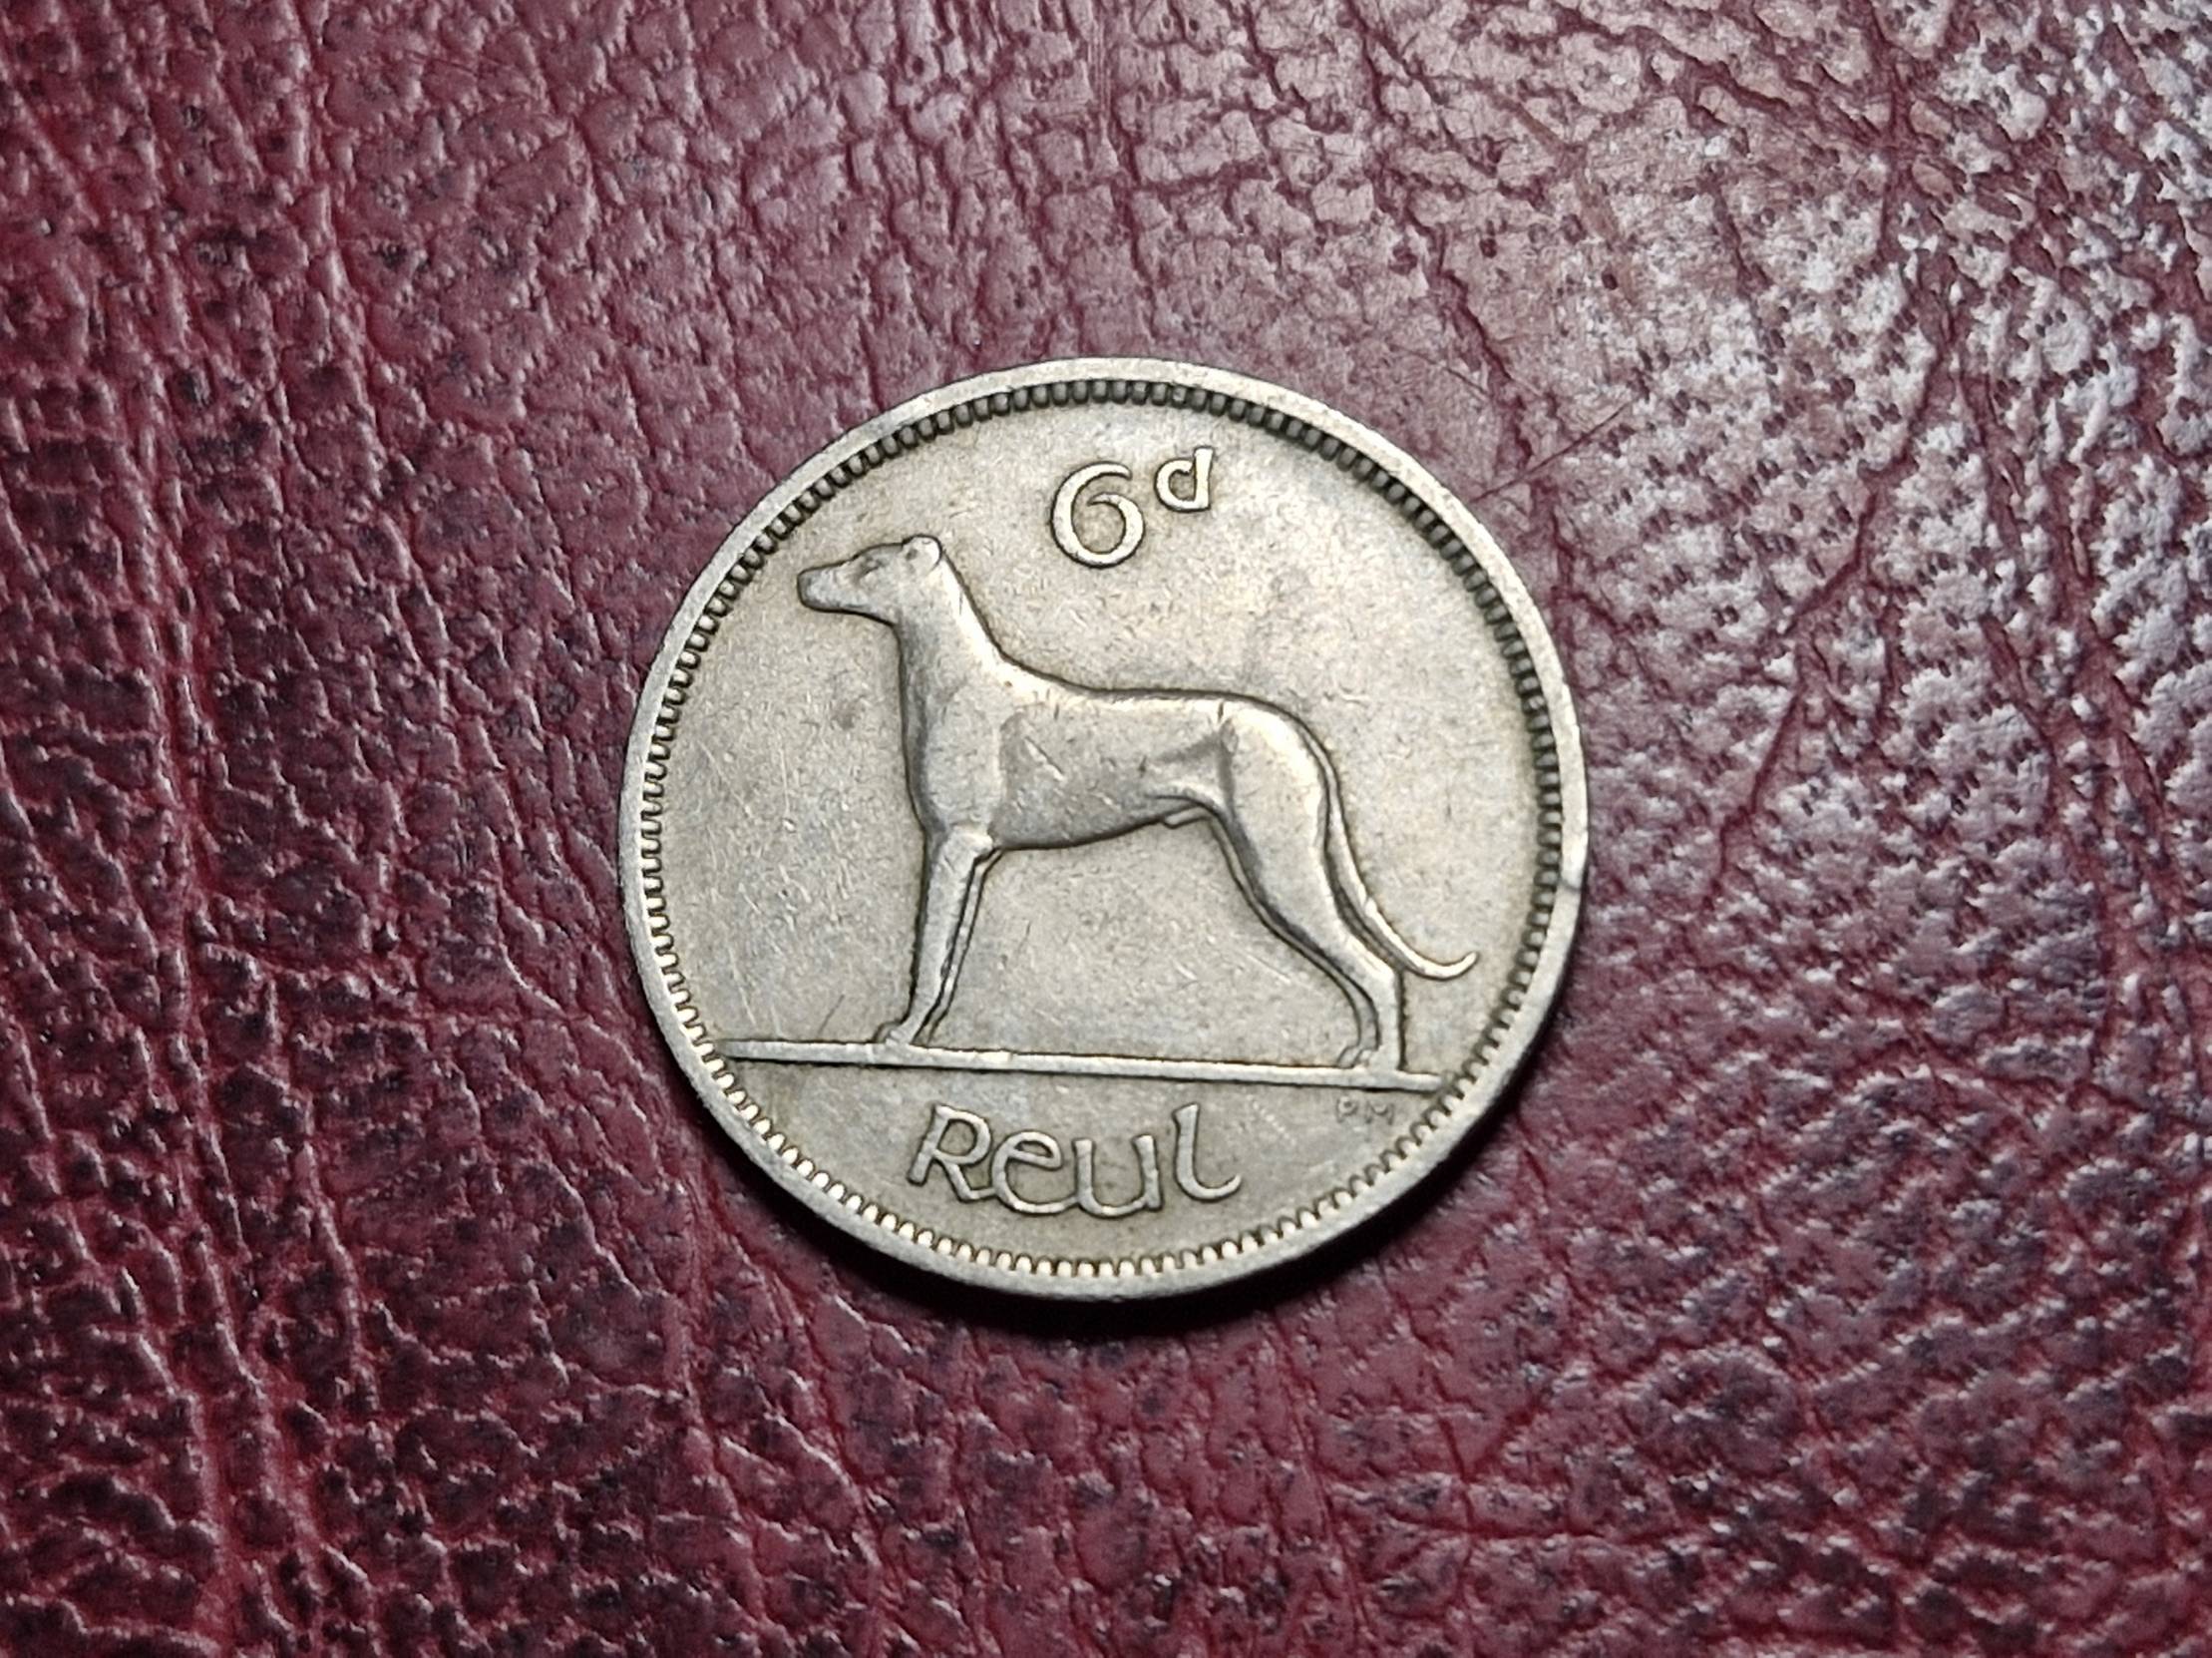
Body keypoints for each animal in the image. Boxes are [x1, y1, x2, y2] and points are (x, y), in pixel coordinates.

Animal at [797, 534, 1475, 1071]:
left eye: (867, 565)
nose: (805, 579)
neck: (952, 681)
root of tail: (1295, 730)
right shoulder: (979, 858)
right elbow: (947, 963)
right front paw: (928, 1036)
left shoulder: (952, 844)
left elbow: (927, 953)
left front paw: (901, 1035)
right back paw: (1356, 1056)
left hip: (1281, 867)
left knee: (1376, 969)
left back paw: (1383, 1069)